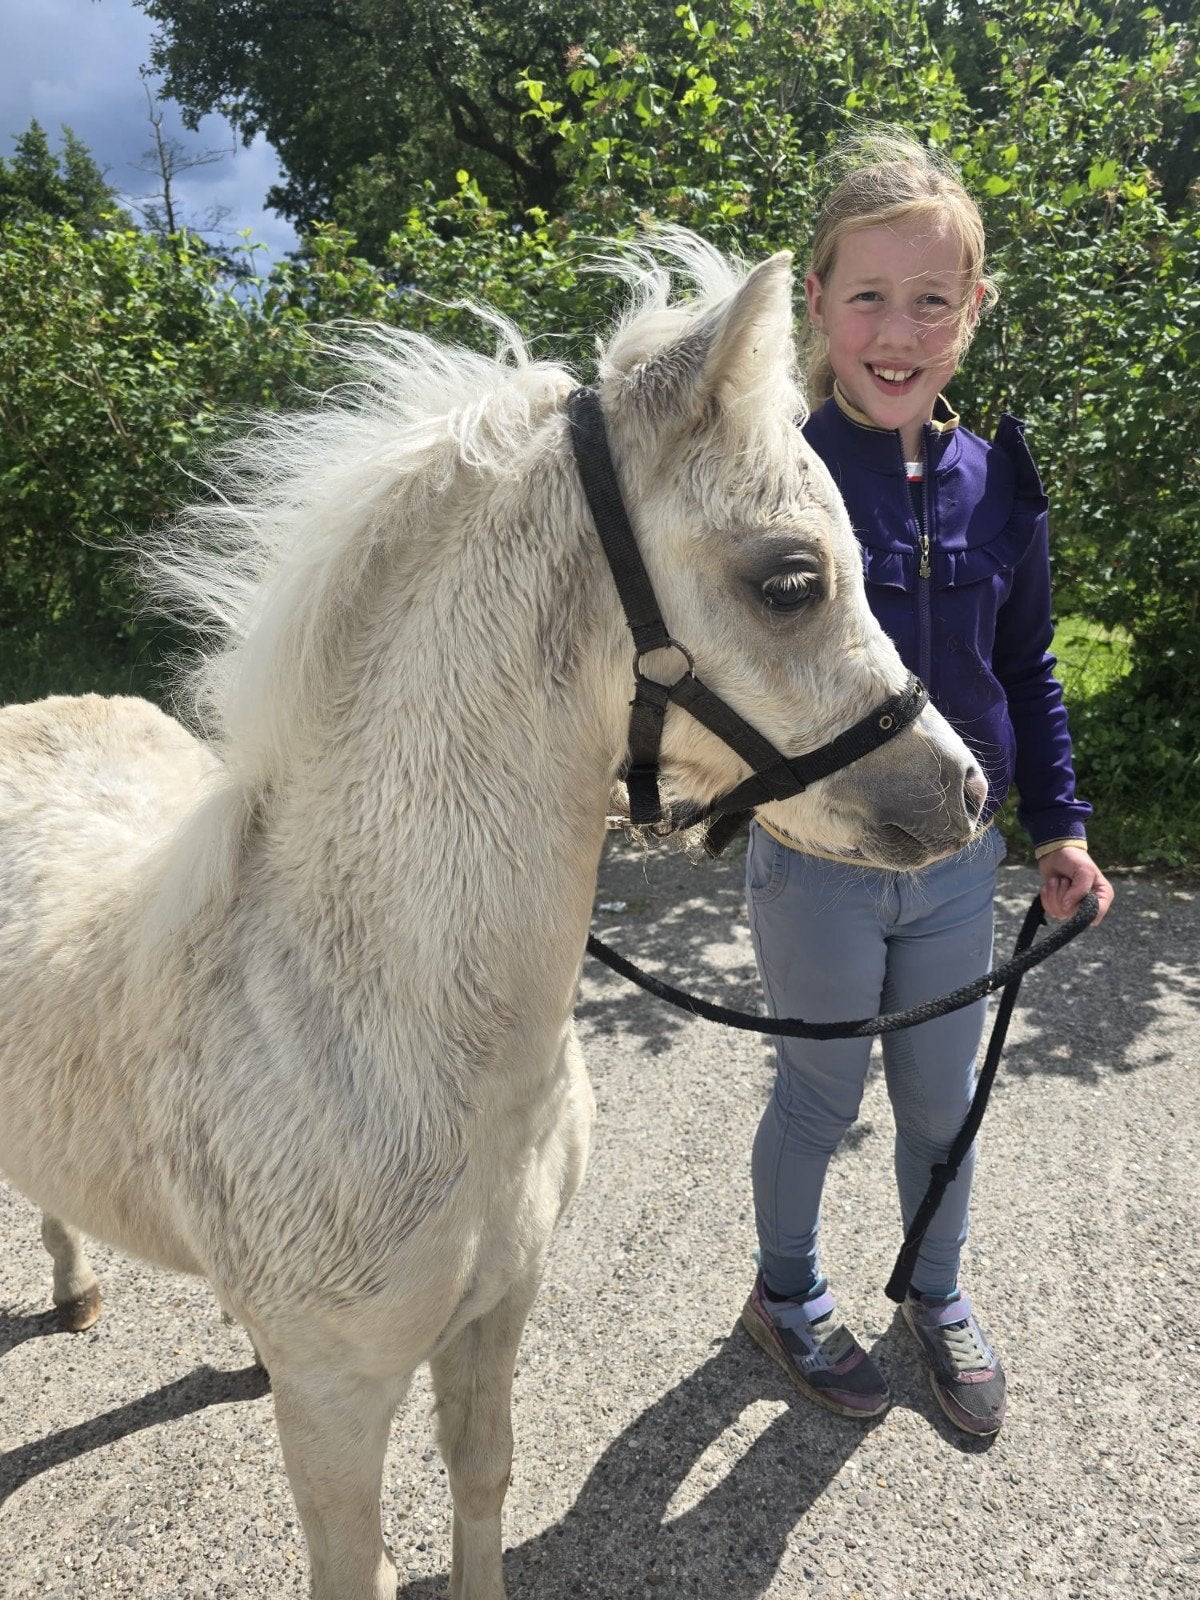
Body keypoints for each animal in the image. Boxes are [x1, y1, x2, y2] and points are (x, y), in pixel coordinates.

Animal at [0, 235, 984, 1600]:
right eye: (791, 581)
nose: (967, 793)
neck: (383, 1024)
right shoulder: (339, 1398)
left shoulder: (496, 1314)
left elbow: (481, 1482)